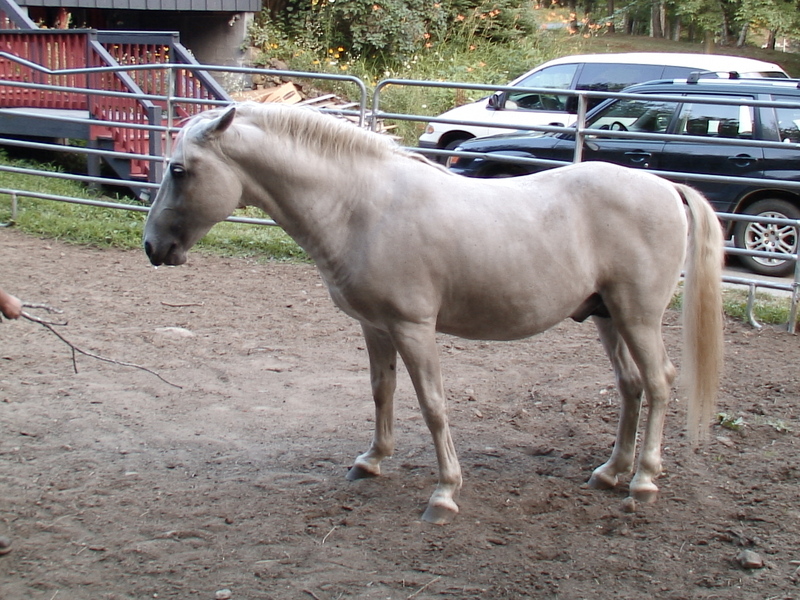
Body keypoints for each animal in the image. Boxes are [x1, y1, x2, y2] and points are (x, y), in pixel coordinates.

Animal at [143, 102, 724, 524]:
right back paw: (610, 471)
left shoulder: (413, 328)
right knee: (630, 385)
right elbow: (382, 392)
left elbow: (433, 406)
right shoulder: (374, 327)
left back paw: (643, 481)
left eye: (179, 169)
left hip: (637, 316)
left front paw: (445, 493)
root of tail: (666, 187)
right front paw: (372, 461)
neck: (360, 207)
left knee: (660, 382)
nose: (152, 246)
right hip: (607, 317)